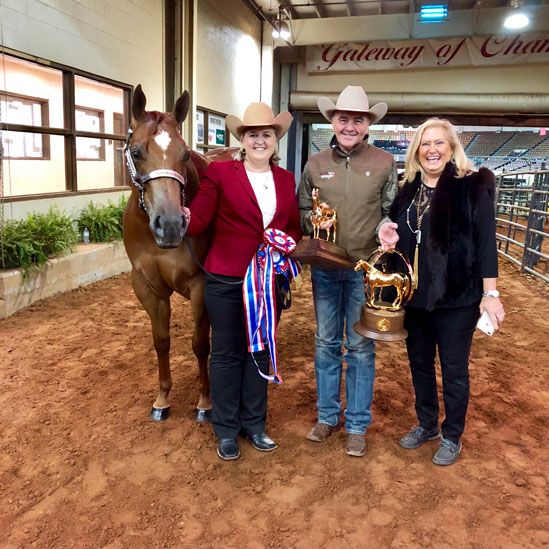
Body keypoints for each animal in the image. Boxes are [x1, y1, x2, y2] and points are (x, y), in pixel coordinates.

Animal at [123, 84, 217, 420]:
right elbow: (161, 341)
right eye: (136, 152)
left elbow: (200, 344)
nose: (172, 225)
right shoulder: (147, 286)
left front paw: (204, 402)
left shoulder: (201, 284)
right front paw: (162, 398)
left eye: (185, 154)